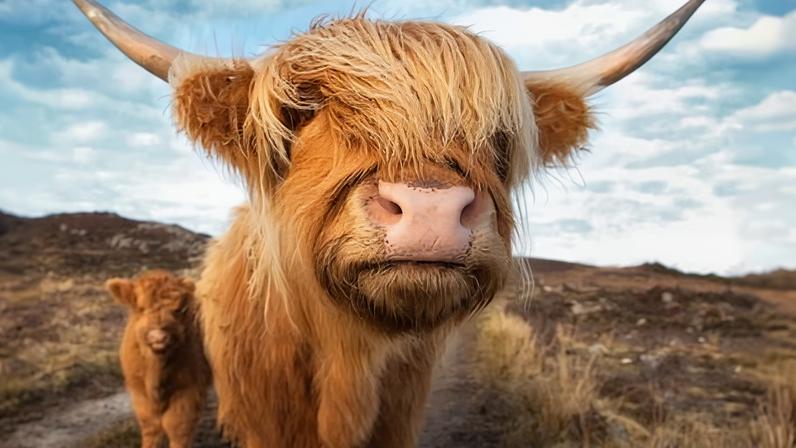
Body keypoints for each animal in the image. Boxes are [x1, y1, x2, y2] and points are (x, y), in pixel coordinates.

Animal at [106, 270, 211, 448]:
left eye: (177, 310)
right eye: (141, 308)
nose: (159, 336)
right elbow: (151, 427)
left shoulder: (189, 390)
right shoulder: (139, 391)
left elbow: (177, 428)